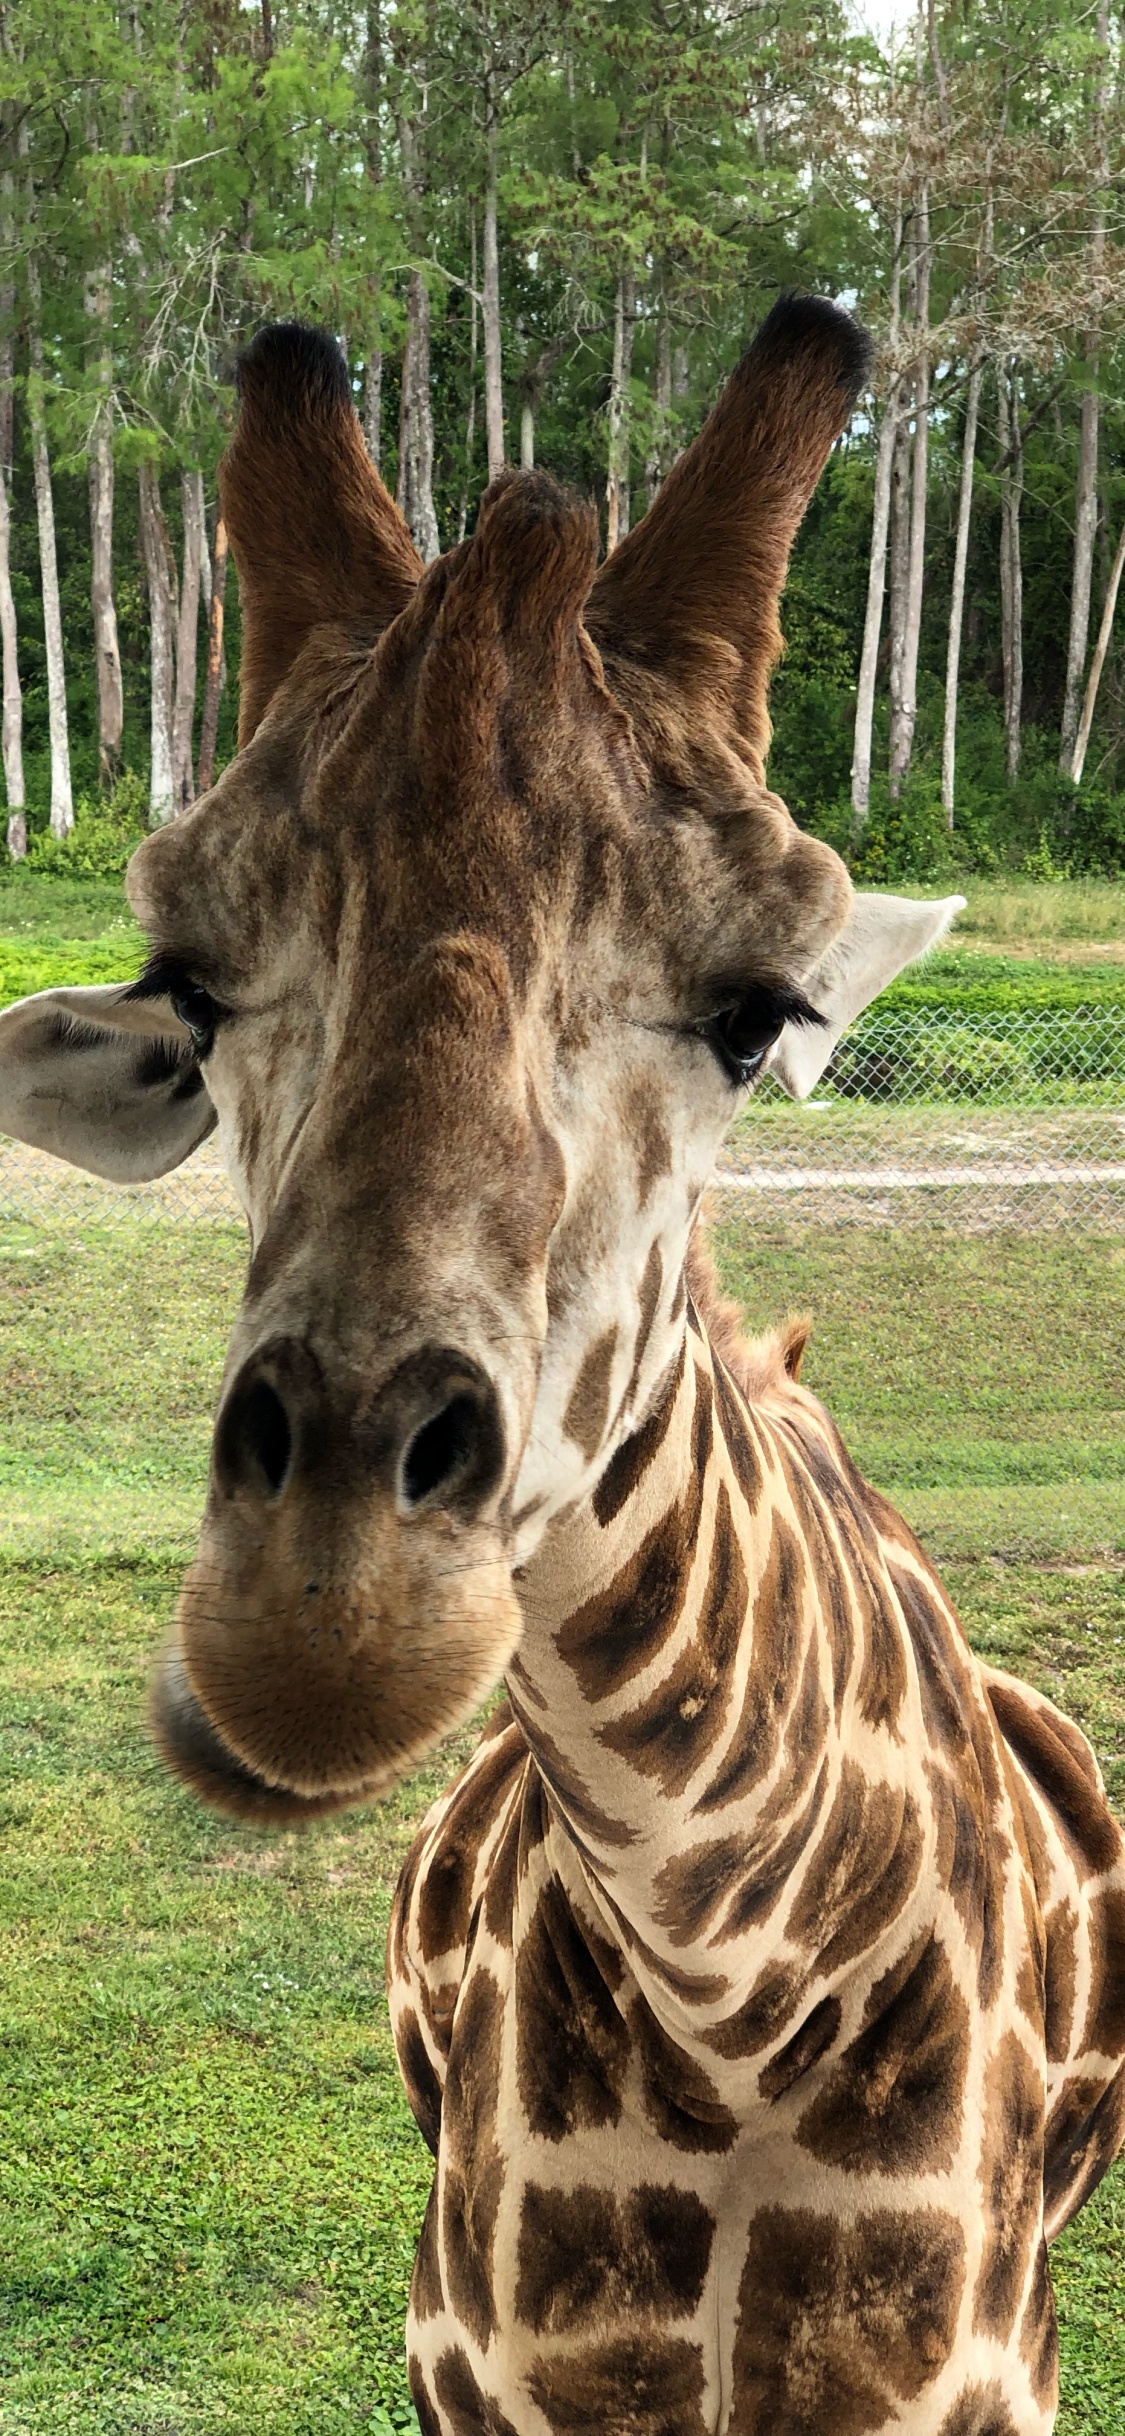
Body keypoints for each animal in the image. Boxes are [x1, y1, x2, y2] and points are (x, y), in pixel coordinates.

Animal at [0, 297, 1122, 2435]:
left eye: (759, 1014)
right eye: (194, 990)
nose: (324, 1618)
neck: (736, 1997)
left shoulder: (972, 2380)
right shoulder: (472, 2364)